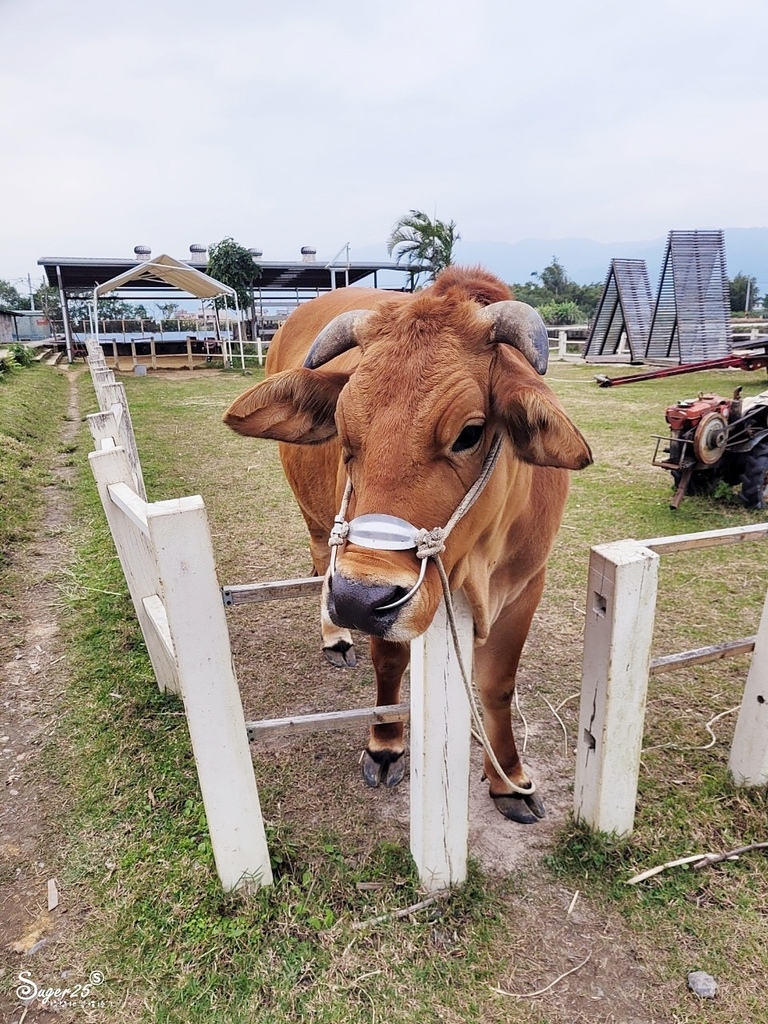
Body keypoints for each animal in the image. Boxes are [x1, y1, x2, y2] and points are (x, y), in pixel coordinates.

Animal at [224, 266, 593, 823]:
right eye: (345, 433)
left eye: (470, 433)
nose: (356, 599)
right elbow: (389, 663)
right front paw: (385, 744)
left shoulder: (528, 584)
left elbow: (498, 686)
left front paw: (510, 779)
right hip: (317, 523)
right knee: (319, 559)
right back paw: (336, 636)